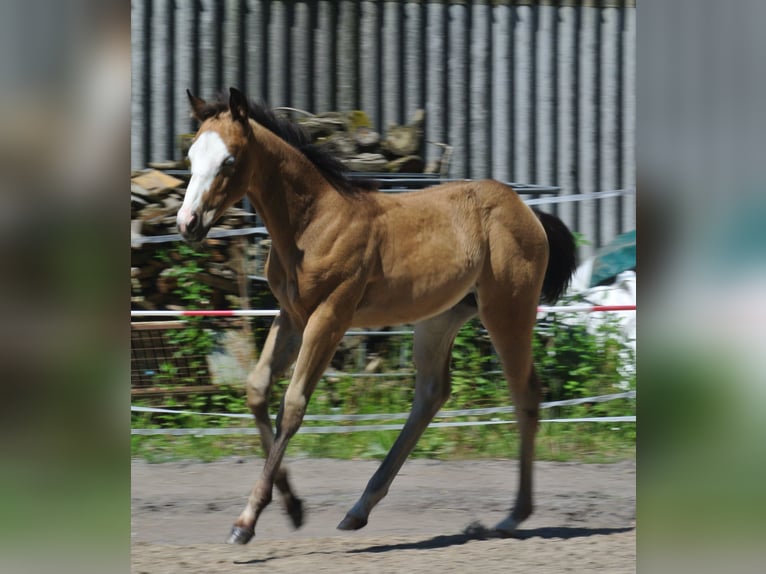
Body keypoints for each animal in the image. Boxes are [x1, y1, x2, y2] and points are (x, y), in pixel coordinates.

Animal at [177, 89, 580, 544]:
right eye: (191, 157)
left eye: (229, 160)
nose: (187, 223)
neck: (313, 223)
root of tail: (529, 212)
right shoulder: (292, 316)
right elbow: (257, 391)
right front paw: (293, 508)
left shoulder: (330, 316)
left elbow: (293, 405)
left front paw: (246, 522)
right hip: (440, 318)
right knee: (431, 394)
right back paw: (359, 510)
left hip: (508, 309)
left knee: (524, 393)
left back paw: (513, 516)